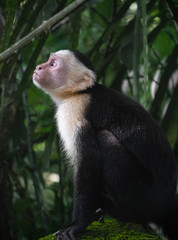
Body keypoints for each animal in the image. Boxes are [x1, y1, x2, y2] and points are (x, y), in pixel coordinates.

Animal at [32, 49, 177, 239]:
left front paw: (78, 224)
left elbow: (88, 163)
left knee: (104, 138)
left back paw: (124, 213)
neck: (77, 93)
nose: (38, 67)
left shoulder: (74, 110)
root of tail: (168, 202)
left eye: (53, 64)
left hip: (146, 197)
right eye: (48, 60)